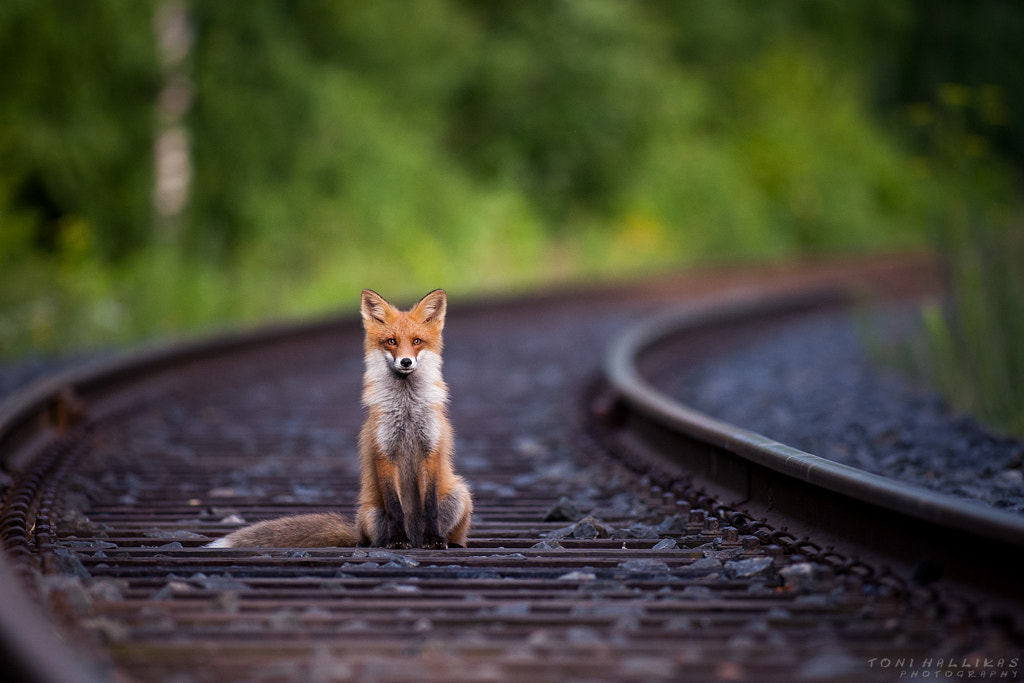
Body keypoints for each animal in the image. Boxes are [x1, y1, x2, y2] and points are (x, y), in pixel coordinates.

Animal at [212, 288, 475, 548]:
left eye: (417, 341)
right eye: (391, 342)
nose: (406, 361)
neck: (406, 408)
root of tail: (415, 536)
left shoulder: (431, 450)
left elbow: (430, 507)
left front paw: (435, 539)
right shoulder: (383, 452)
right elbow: (395, 508)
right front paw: (398, 540)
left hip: (459, 495)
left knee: (453, 530)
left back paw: (447, 542)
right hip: (370, 514)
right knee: (375, 538)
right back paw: (390, 541)